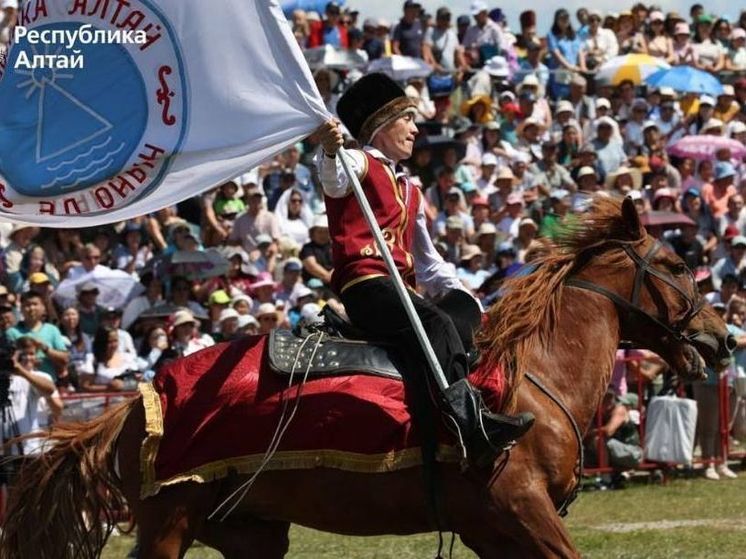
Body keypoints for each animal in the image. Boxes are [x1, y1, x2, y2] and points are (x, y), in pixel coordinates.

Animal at [1, 198, 732, 559]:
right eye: (674, 262)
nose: (723, 339)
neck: (529, 383)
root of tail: (132, 407)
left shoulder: (491, 529)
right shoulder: (521, 508)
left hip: (251, 532)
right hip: (166, 524)